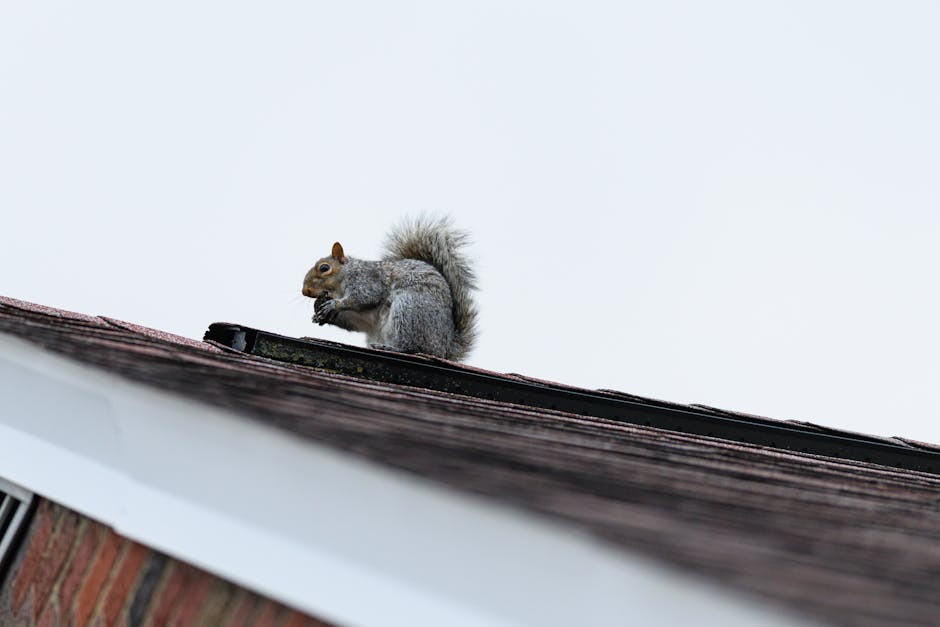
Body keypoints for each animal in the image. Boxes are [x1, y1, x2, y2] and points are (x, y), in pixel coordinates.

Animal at [301, 216, 478, 361]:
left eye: (324, 268)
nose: (305, 291)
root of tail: (444, 348)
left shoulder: (368, 280)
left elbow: (364, 297)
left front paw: (333, 305)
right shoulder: (362, 318)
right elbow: (355, 321)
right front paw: (320, 314)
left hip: (409, 309)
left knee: (412, 348)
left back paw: (391, 347)